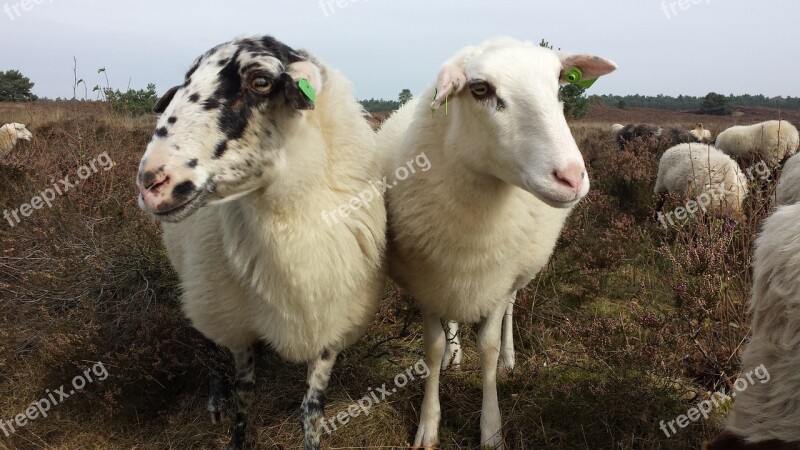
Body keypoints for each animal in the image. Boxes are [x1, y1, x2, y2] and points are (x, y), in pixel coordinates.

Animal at [134, 36, 384, 450]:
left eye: (262, 81)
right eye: (186, 81)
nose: (151, 182)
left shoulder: (333, 320)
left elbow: (312, 408)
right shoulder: (235, 325)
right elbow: (244, 391)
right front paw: (236, 436)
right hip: (203, 292)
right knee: (207, 340)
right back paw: (214, 397)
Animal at [378, 37, 616, 448]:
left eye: (559, 85)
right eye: (480, 89)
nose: (571, 178)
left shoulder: (497, 279)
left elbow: (486, 349)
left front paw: (491, 429)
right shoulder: (428, 281)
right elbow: (432, 346)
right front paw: (428, 423)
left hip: (515, 274)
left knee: (509, 310)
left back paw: (509, 358)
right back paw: (455, 355)